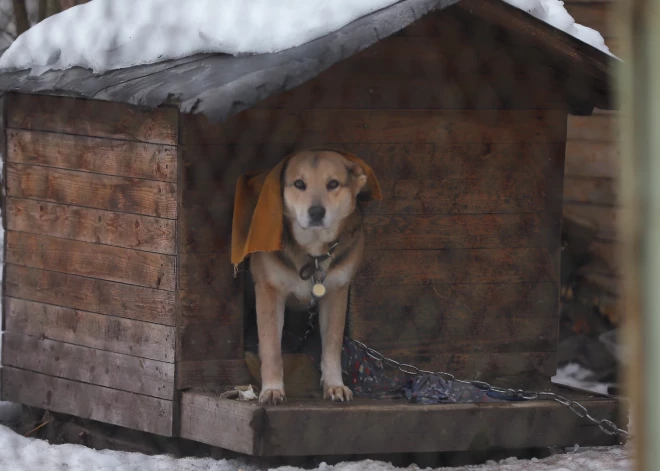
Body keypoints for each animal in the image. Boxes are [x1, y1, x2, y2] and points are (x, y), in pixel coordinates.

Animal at [249, 149, 368, 404]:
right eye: (299, 184)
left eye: (332, 183)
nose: (316, 212)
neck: (312, 252)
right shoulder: (268, 290)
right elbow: (271, 346)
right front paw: (272, 389)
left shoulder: (336, 292)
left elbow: (332, 346)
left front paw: (335, 385)